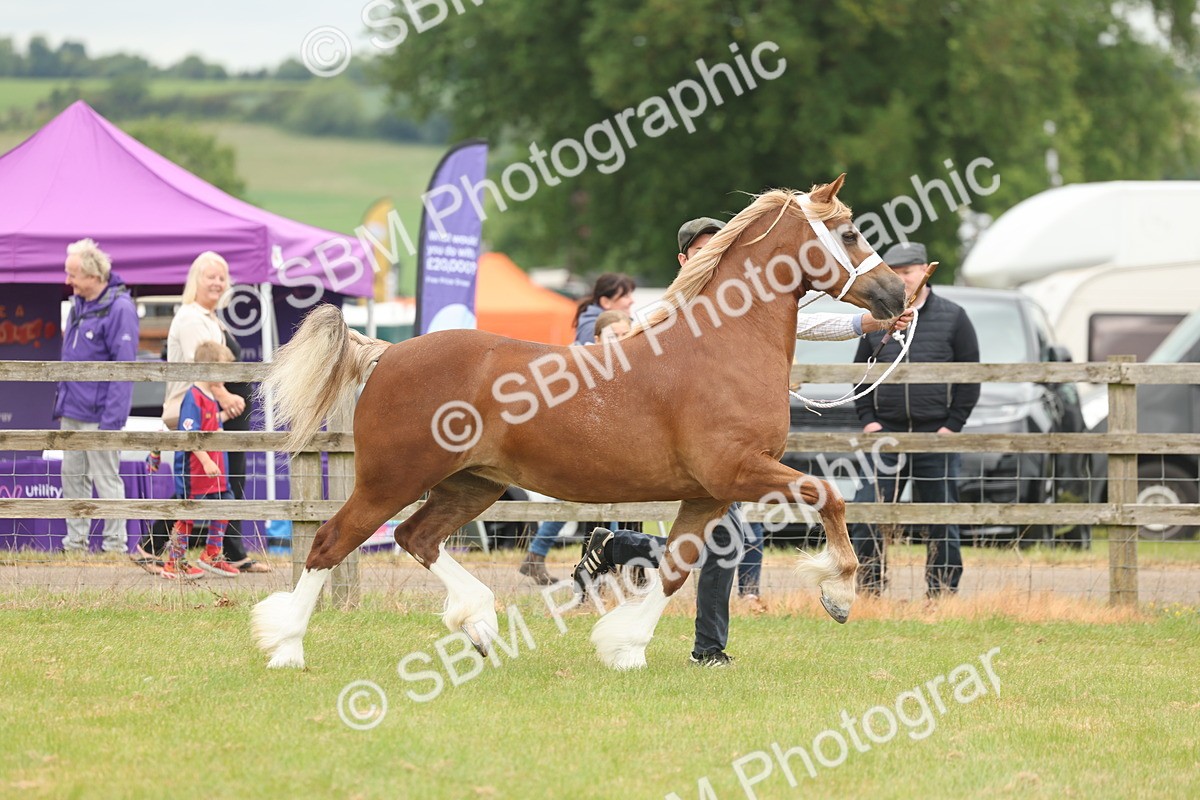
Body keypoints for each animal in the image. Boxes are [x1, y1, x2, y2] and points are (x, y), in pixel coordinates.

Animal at [251, 174, 906, 670]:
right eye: (850, 232)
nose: (897, 296)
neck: (721, 347)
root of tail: (386, 353)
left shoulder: (707, 493)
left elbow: (675, 570)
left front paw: (625, 646)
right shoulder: (740, 471)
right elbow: (829, 498)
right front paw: (839, 593)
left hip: (471, 485)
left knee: (418, 538)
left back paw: (480, 626)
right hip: (392, 479)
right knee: (331, 543)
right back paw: (286, 648)